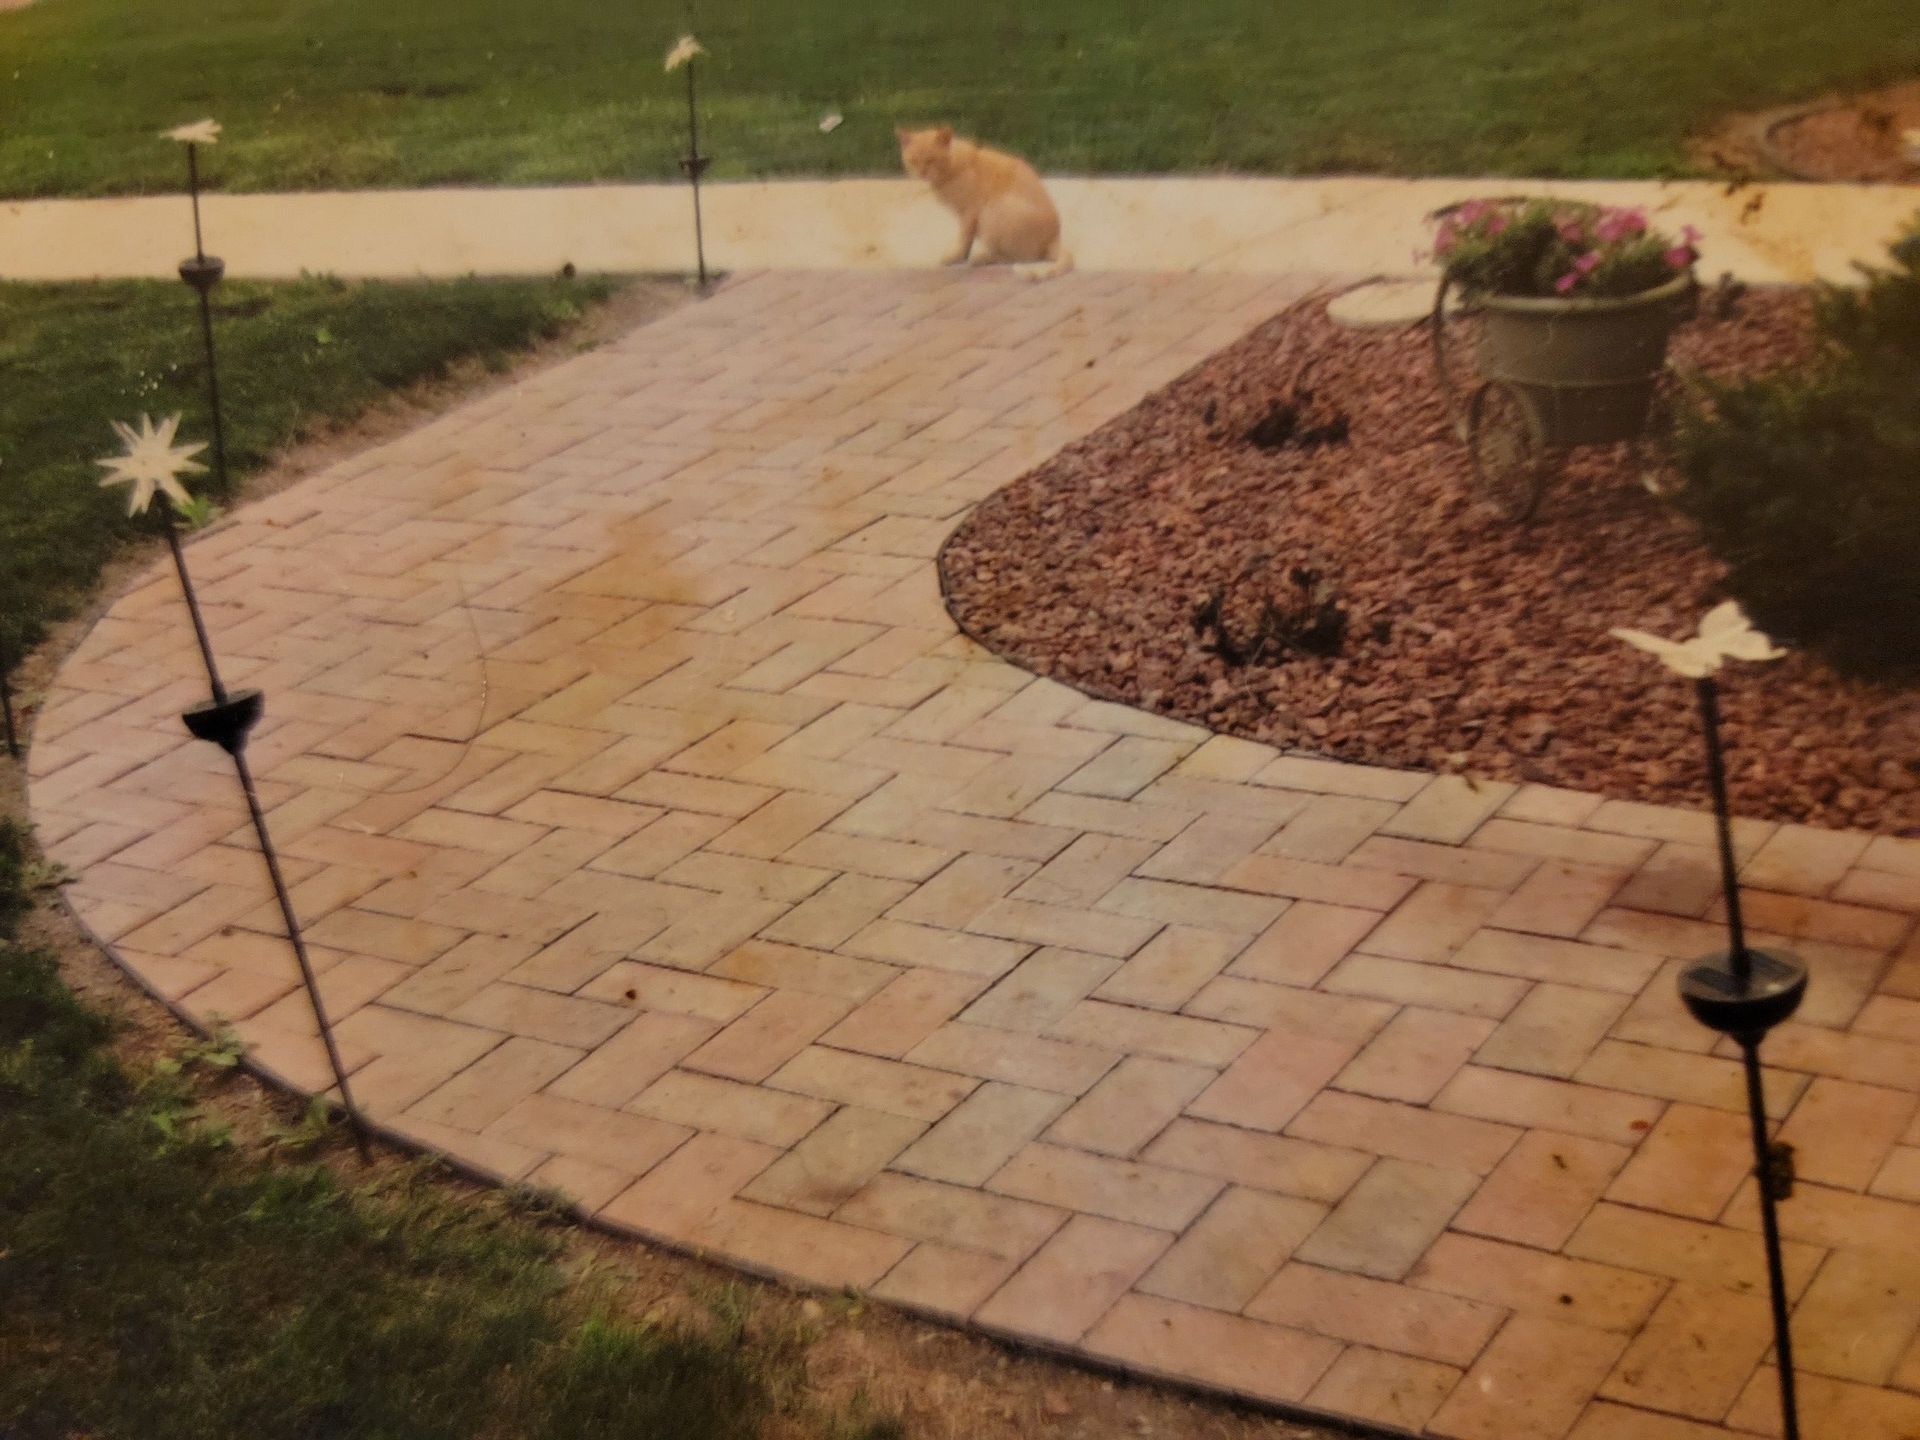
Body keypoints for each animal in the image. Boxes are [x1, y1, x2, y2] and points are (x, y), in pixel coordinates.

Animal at [894, 126, 1075, 282]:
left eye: (931, 160)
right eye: (914, 161)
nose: (922, 172)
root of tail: (1054, 237)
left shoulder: (970, 211)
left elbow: (963, 238)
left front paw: (957, 257)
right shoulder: (967, 217)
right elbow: (967, 240)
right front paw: (962, 257)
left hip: (993, 210)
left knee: (1019, 257)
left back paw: (981, 258)